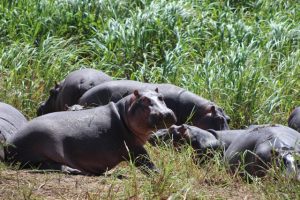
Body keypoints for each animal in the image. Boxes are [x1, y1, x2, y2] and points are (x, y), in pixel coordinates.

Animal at [1, 89, 176, 175]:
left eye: (161, 97)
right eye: (144, 100)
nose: (166, 113)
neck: (124, 112)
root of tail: (8, 144)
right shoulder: (134, 148)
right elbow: (147, 162)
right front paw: (159, 174)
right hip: (46, 143)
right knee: (43, 165)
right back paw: (73, 170)